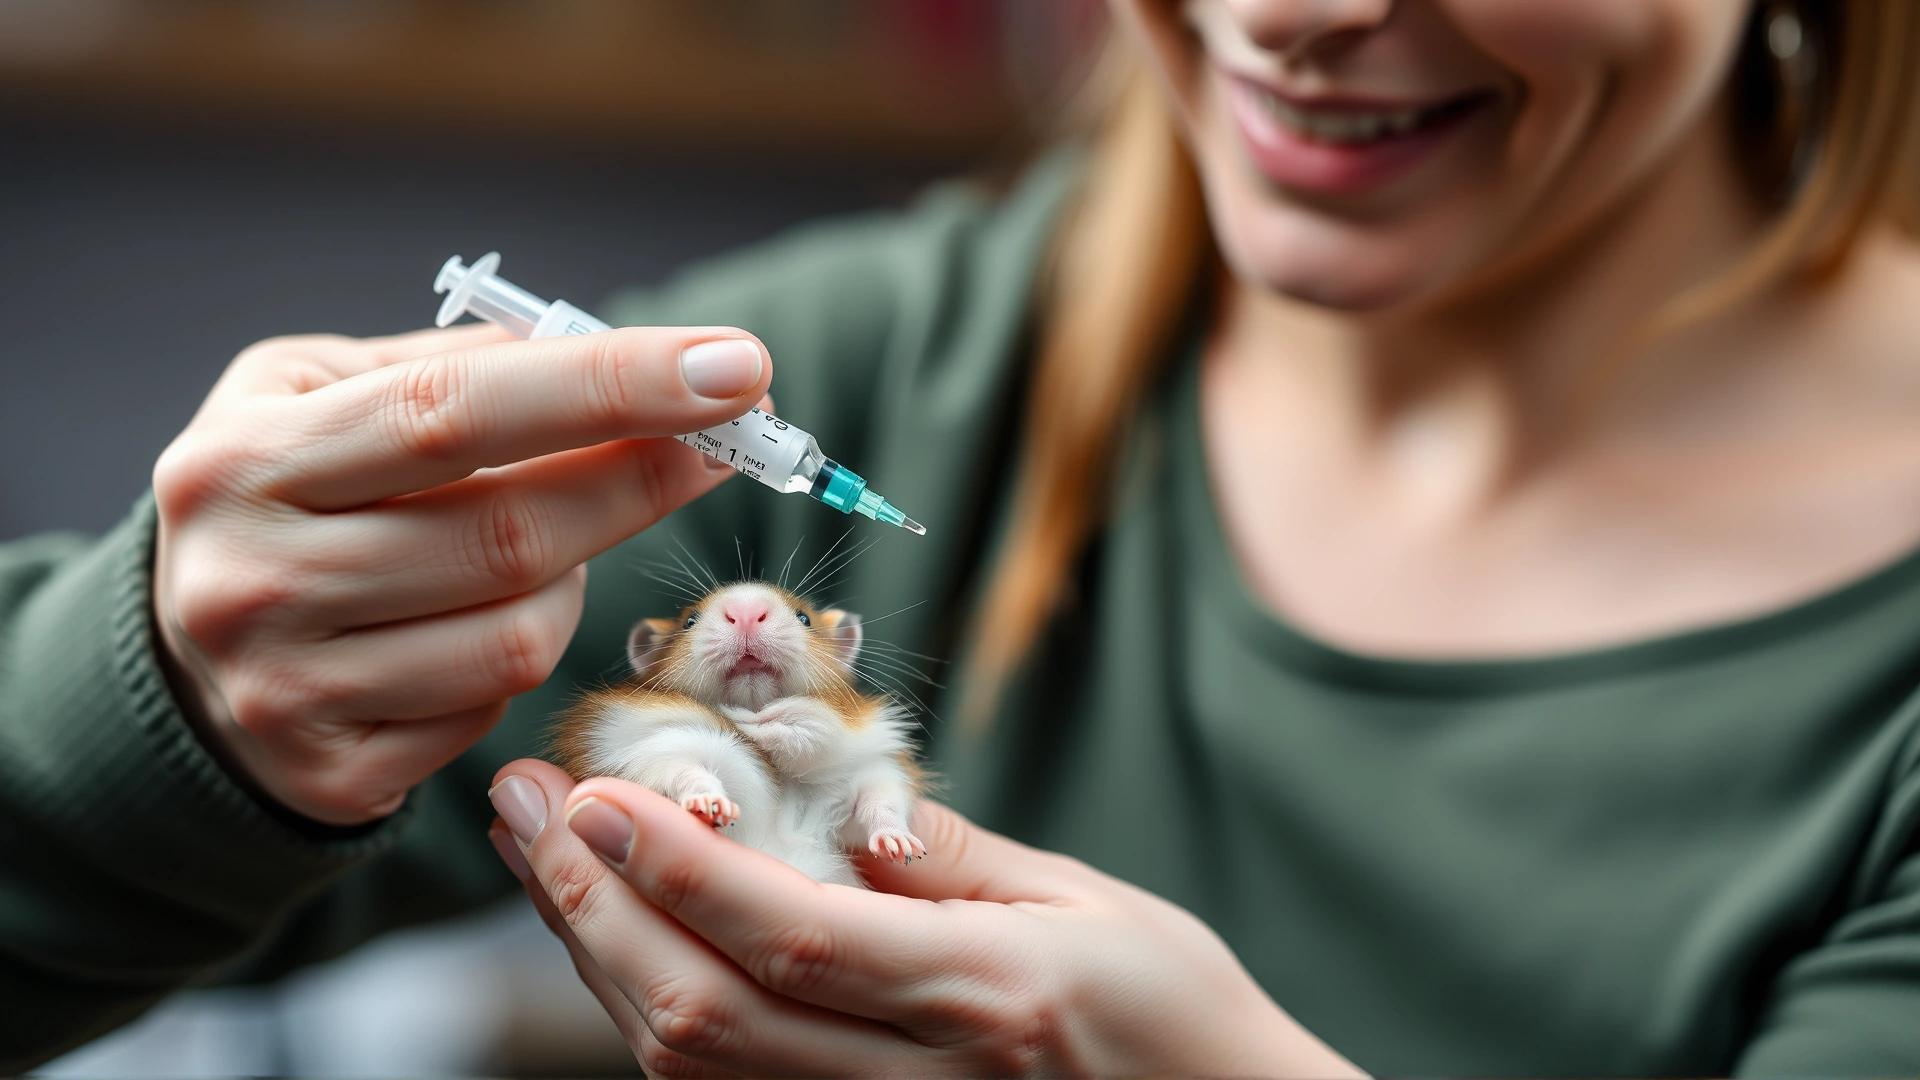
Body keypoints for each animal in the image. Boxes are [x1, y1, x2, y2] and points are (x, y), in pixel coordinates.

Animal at [551, 580, 927, 887]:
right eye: (689, 620)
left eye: (805, 618)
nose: (746, 612)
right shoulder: (648, 750)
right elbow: (683, 772)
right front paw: (711, 805)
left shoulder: (872, 769)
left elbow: (881, 802)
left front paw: (902, 847)